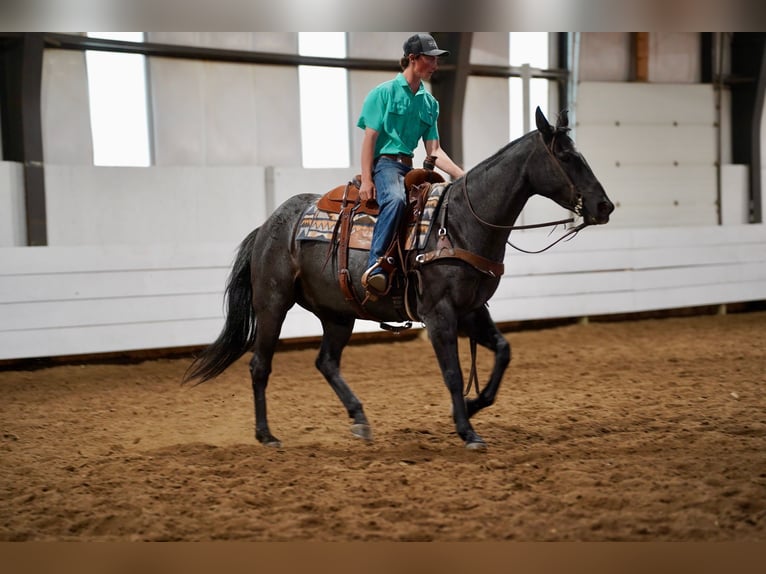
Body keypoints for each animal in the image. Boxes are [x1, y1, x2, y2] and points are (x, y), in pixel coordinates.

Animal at [183, 107, 616, 450]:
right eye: (567, 156)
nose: (604, 206)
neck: (460, 223)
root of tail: (269, 225)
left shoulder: (472, 310)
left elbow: (503, 351)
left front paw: (474, 405)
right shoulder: (440, 313)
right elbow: (453, 373)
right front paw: (467, 430)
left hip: (337, 313)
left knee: (326, 362)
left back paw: (360, 420)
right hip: (273, 303)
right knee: (260, 365)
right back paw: (266, 435)